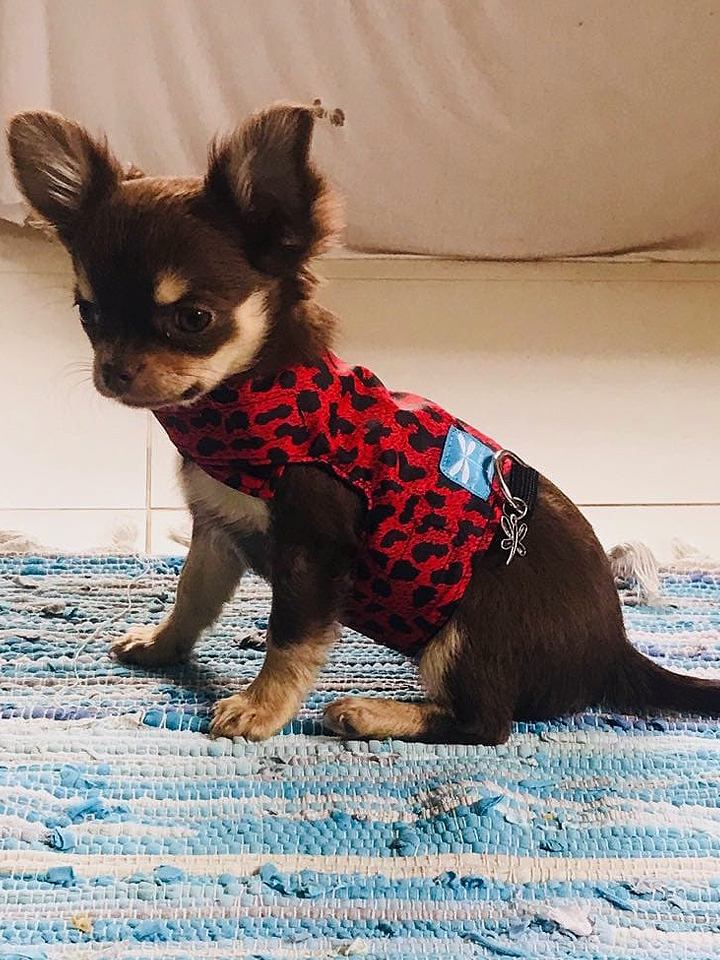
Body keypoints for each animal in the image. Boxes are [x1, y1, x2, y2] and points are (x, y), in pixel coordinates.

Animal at [7, 104, 719, 743]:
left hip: (466, 632)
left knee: (485, 724)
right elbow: (192, 597)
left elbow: (289, 638)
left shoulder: (314, 551)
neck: (242, 409)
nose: (114, 372)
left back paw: (373, 713)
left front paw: (261, 710)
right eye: (89, 313)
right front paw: (163, 645)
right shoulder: (216, 528)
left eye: (193, 319)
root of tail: (613, 652)